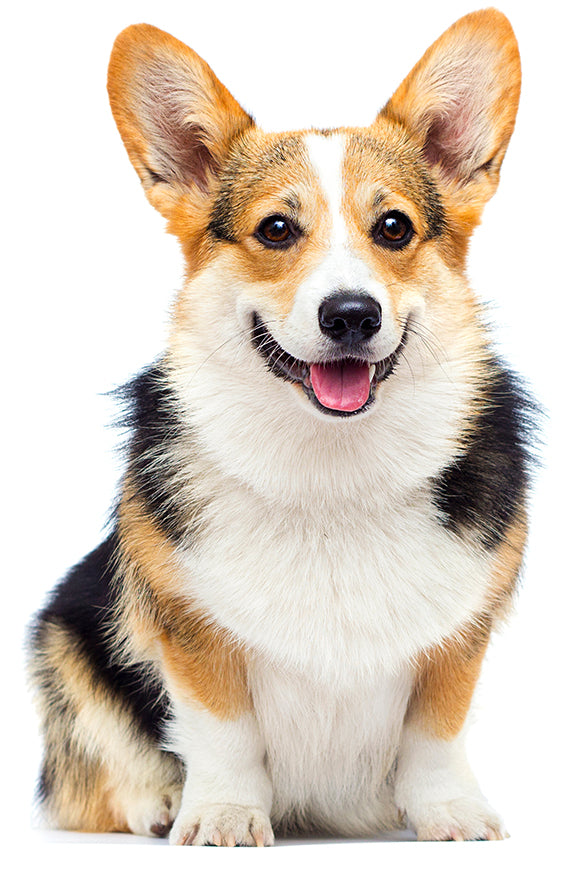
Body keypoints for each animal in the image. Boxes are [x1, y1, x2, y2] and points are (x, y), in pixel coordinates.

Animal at [25, 6, 532, 844]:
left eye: (394, 227)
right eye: (274, 231)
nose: (352, 314)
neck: (334, 470)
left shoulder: (461, 635)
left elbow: (438, 726)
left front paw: (450, 813)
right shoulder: (191, 629)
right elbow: (223, 729)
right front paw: (223, 815)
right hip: (65, 634)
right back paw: (159, 802)